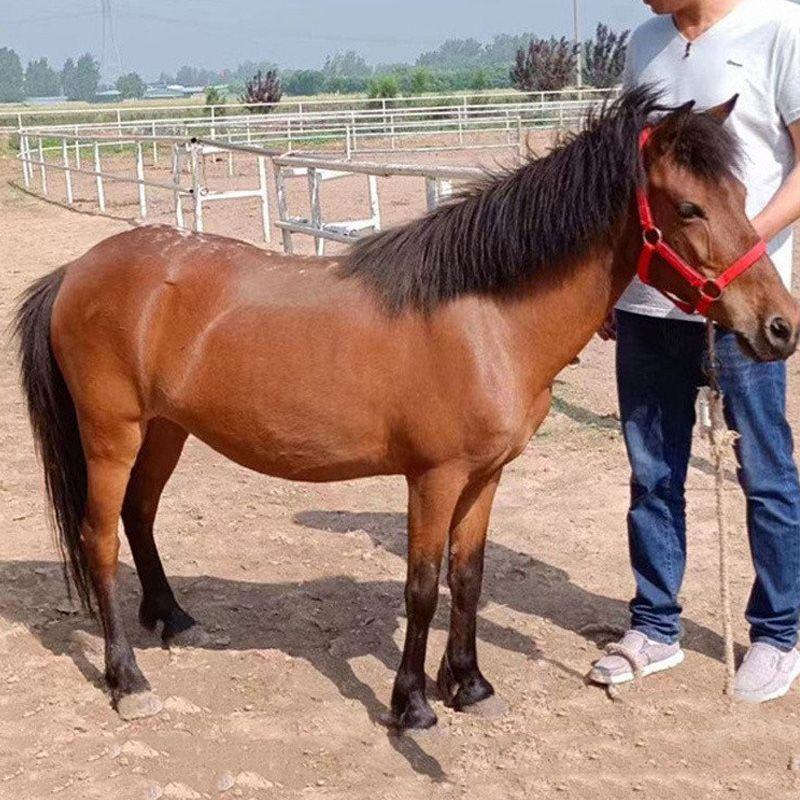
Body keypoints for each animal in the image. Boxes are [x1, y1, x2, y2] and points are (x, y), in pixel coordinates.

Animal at [15, 88, 799, 728]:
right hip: (112, 435)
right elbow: (421, 586)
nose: (780, 328)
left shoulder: (486, 477)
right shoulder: (434, 478)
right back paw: (127, 680)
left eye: (742, 193)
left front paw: (470, 686)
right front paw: (414, 704)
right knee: (100, 538)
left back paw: (174, 619)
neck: (484, 317)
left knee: (140, 517)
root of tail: (77, 271)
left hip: (165, 431)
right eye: (690, 207)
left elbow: (467, 577)